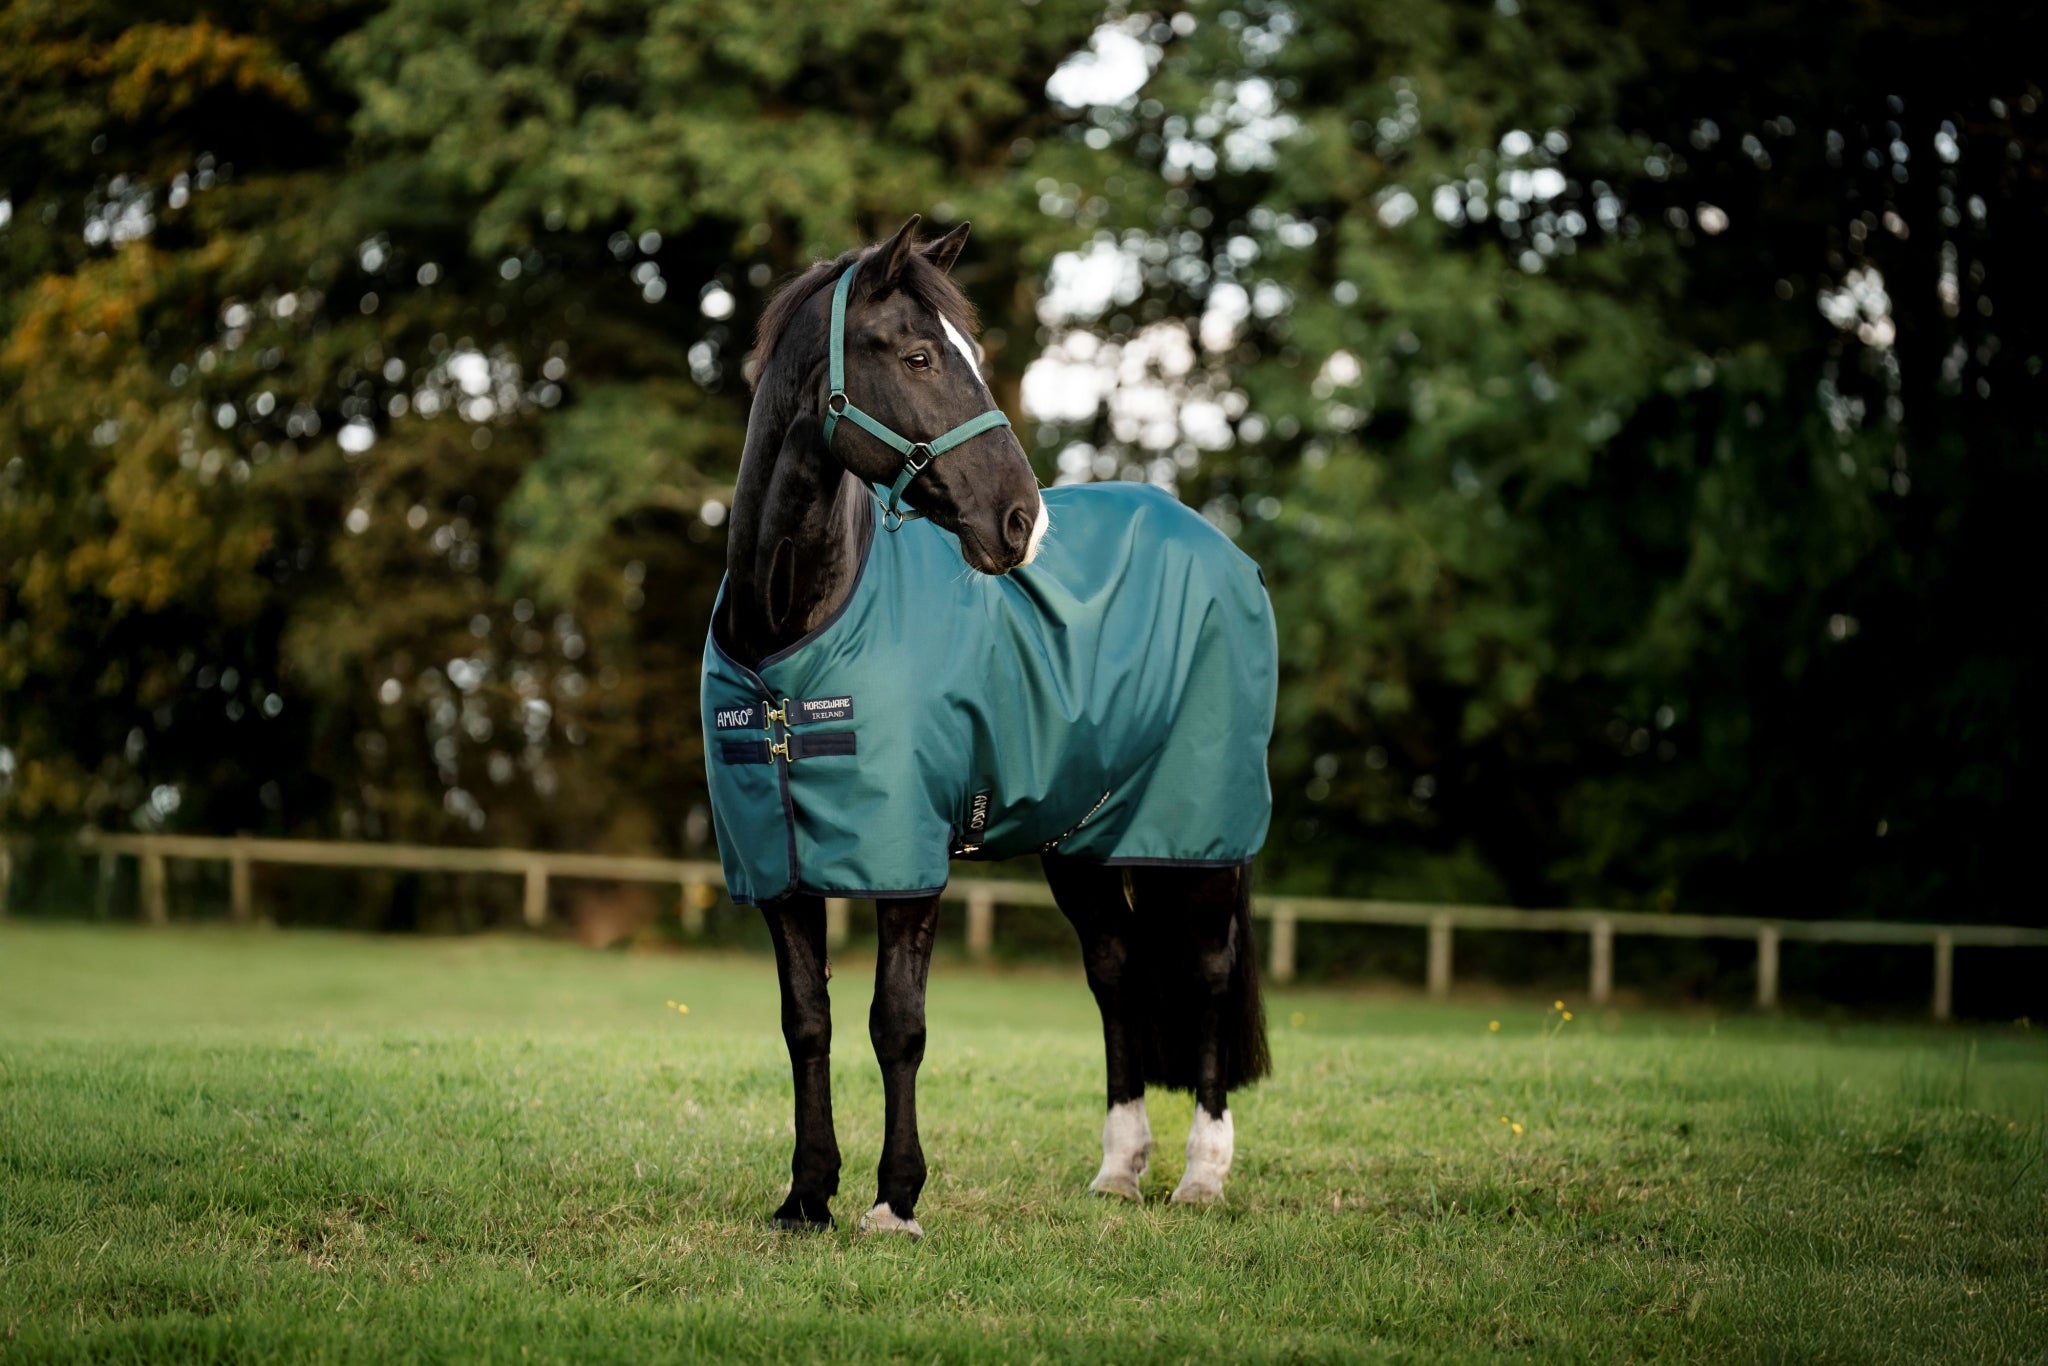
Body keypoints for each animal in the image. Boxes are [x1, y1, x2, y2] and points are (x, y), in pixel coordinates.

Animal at [701, 216, 1277, 1237]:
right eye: (920, 355)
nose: (1021, 522)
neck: (791, 638)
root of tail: (1222, 548)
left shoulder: (908, 861)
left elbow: (898, 1024)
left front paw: (895, 1200)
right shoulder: (778, 866)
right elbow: (807, 1023)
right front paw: (807, 1196)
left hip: (1201, 836)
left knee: (1207, 974)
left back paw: (1202, 1174)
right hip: (1082, 842)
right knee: (1116, 970)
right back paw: (1119, 1169)